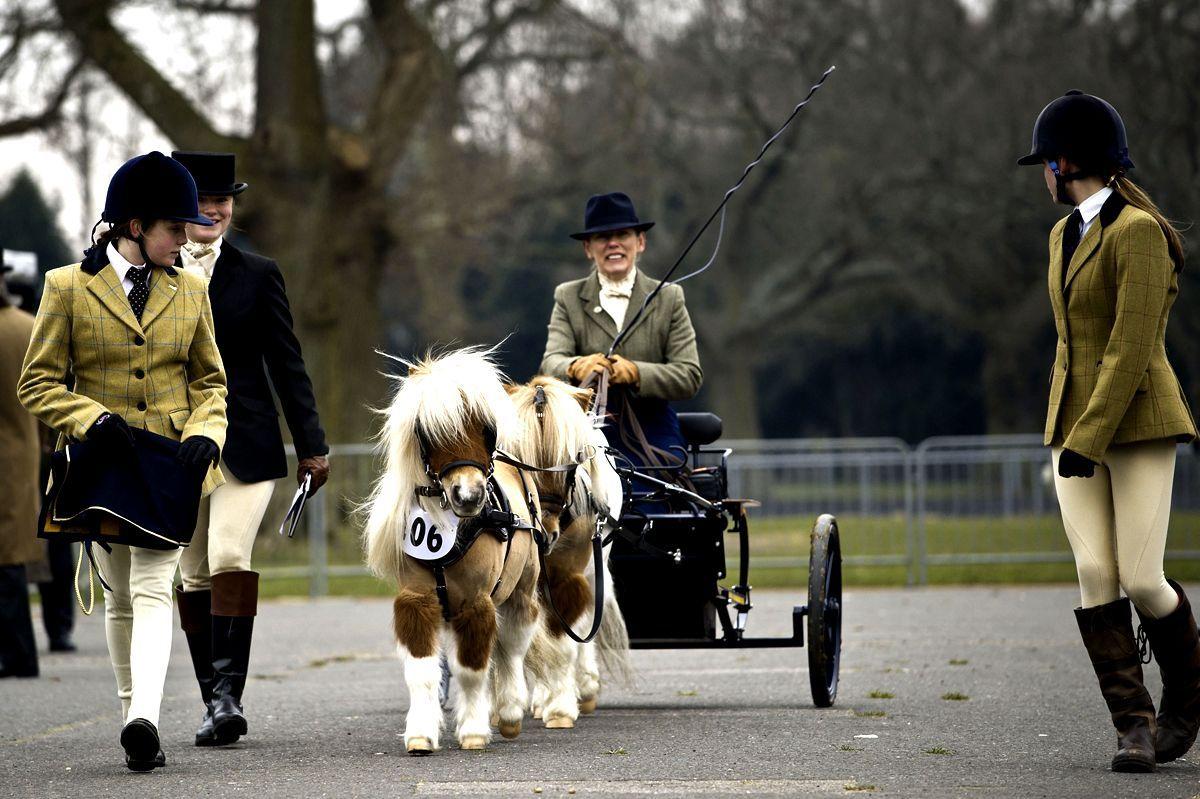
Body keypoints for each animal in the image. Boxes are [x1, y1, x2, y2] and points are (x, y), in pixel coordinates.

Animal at [360, 345, 540, 748]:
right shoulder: (418, 600)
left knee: (511, 646)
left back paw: (508, 713)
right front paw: (420, 734)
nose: (468, 495)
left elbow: (472, 668)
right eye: (429, 431)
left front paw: (473, 731)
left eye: (487, 428)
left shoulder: (475, 601)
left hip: (522, 588)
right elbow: (423, 670)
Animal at [508, 376, 638, 724]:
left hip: (594, 566)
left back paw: (586, 687)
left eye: (572, 457)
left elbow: (566, 640)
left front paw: (561, 708)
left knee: (585, 624)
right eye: (515, 458)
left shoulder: (568, 576)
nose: (543, 533)